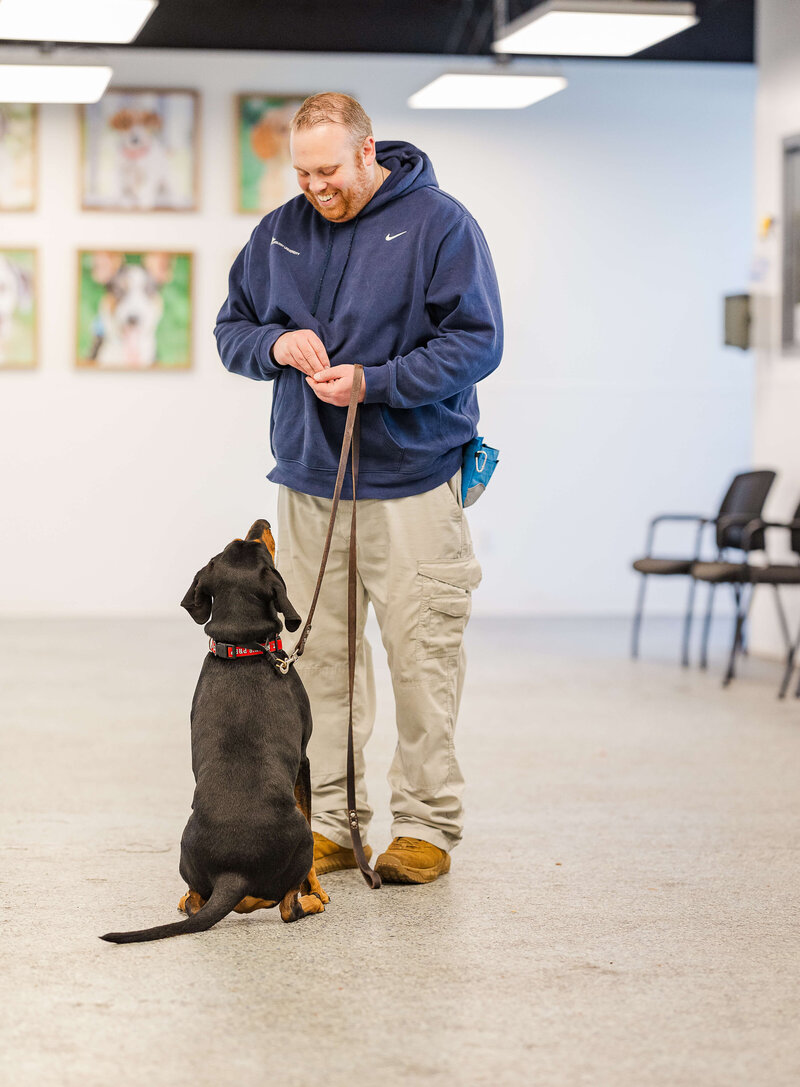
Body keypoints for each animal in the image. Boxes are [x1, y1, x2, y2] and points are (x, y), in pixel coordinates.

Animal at [101, 519, 326, 943]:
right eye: (258, 547)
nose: (261, 522)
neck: (242, 646)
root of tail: (232, 874)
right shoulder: (305, 758)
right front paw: (319, 891)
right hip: (300, 839)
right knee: (285, 905)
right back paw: (309, 902)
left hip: (187, 854)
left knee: (194, 901)